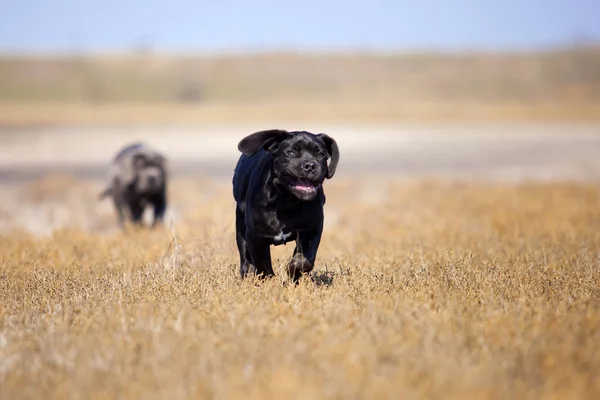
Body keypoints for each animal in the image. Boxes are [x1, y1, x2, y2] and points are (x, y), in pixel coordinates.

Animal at [232, 130, 340, 282]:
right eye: (291, 152)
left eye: (321, 154)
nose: (310, 165)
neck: (287, 201)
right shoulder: (255, 236)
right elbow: (263, 264)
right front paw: (270, 281)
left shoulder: (311, 229)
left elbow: (305, 259)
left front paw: (293, 272)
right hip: (241, 225)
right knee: (245, 255)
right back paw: (248, 274)